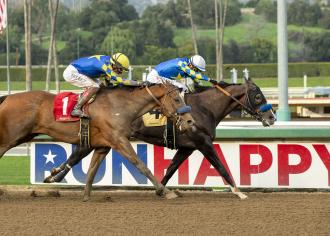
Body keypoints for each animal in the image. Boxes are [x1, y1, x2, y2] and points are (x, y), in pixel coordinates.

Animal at [0, 82, 195, 198]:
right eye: (177, 99)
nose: (190, 121)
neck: (119, 107)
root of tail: (8, 97)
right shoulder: (119, 140)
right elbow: (140, 165)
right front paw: (166, 191)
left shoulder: (103, 146)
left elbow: (92, 171)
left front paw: (86, 196)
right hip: (10, 137)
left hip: (24, 135)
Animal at [47, 78, 276, 200]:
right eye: (257, 96)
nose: (272, 117)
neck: (205, 108)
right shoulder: (203, 142)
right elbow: (220, 166)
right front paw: (239, 192)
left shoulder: (187, 147)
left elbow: (172, 167)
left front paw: (161, 190)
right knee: (79, 152)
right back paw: (55, 176)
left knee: (79, 153)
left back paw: (55, 176)